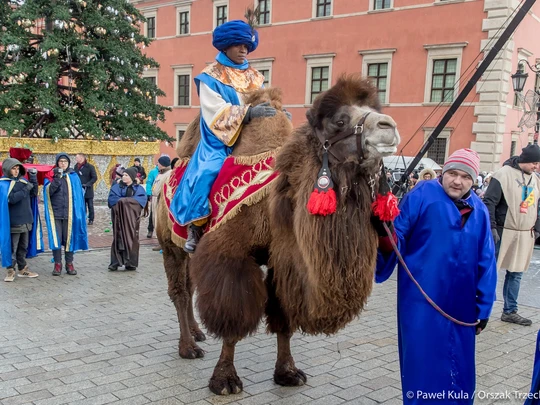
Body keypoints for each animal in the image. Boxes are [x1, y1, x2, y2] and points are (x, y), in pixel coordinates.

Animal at [154, 74, 398, 392]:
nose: (388, 126)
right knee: (180, 292)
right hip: (170, 245)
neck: (274, 204)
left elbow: (283, 315)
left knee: (190, 286)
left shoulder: (283, 260)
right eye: (339, 121)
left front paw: (287, 372)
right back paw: (188, 347)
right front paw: (225, 380)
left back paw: (197, 333)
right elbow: (233, 315)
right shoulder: (229, 256)